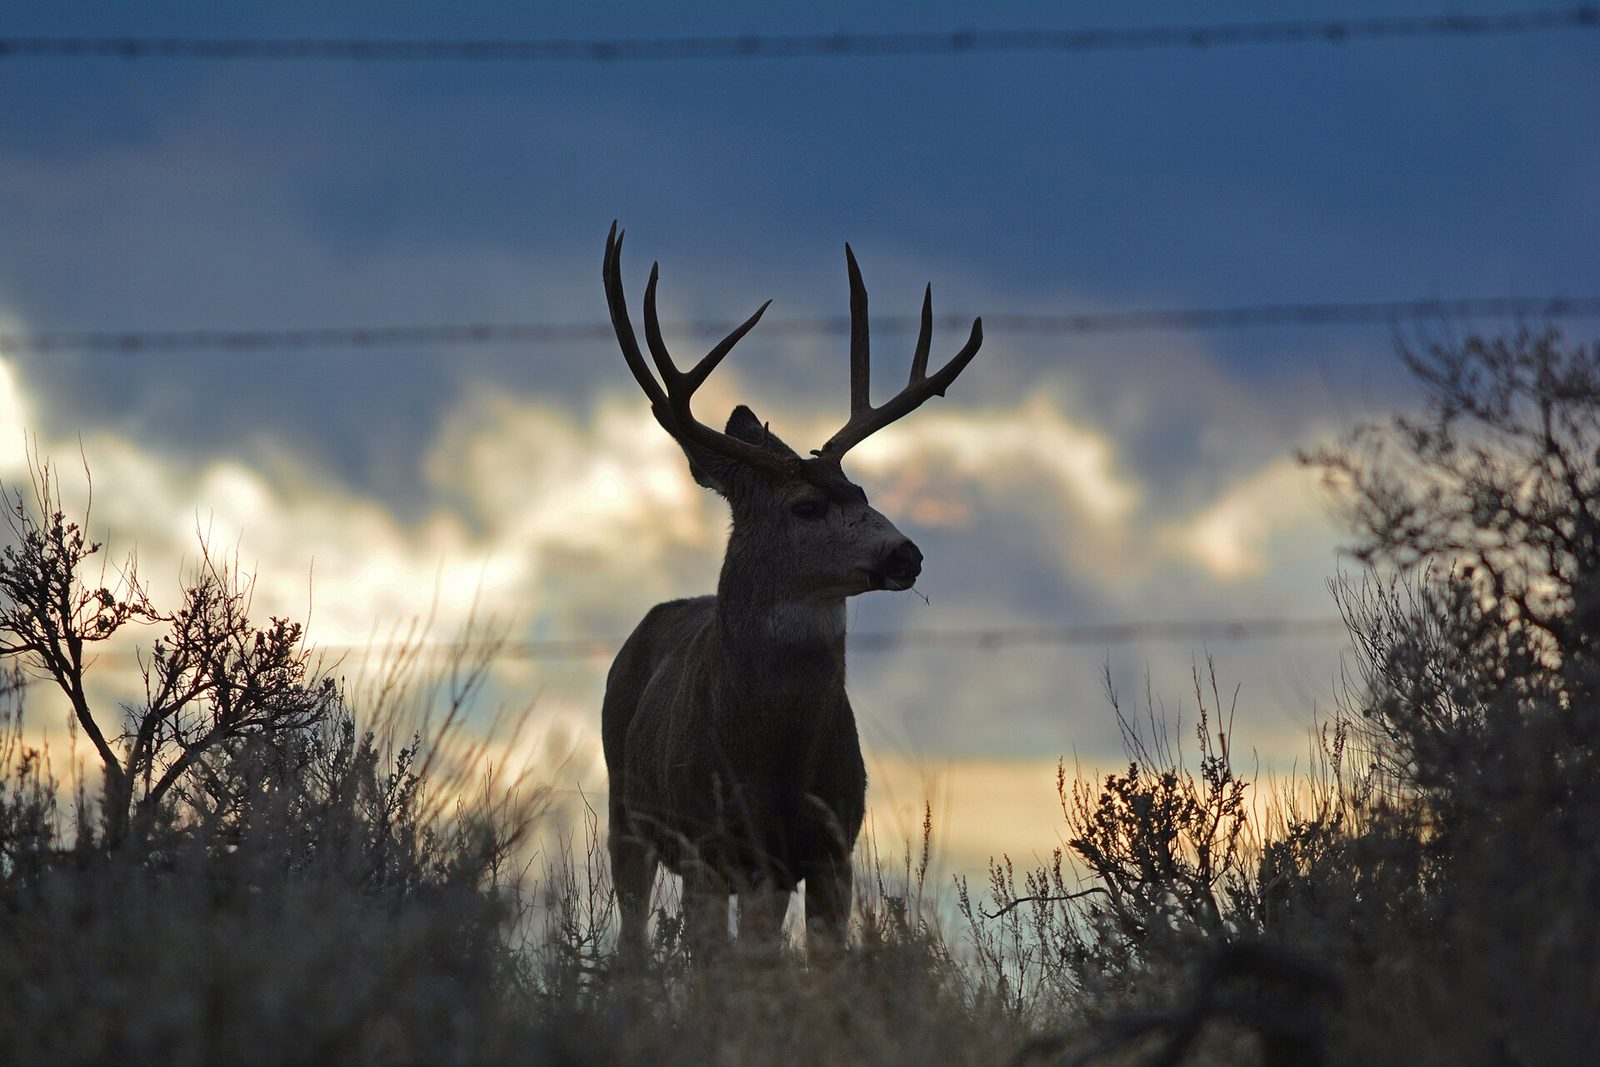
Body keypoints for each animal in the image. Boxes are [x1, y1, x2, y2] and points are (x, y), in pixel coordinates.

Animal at [599, 222, 983, 962]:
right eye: (807, 506)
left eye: (862, 491)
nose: (907, 553)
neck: (769, 755)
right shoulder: (710, 845)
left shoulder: (832, 846)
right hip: (624, 811)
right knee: (633, 932)